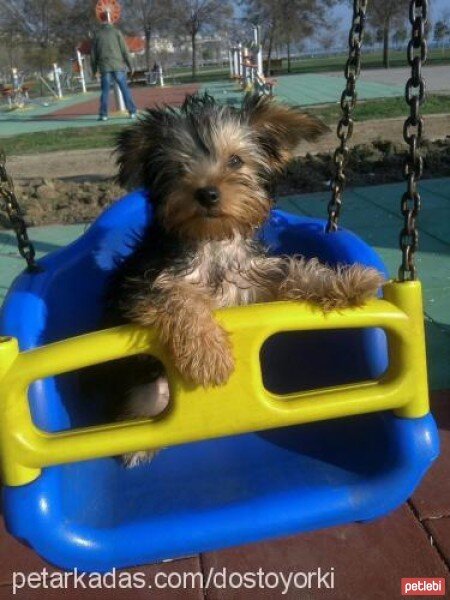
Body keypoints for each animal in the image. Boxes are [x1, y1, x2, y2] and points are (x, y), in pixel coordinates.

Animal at [103, 95, 384, 468]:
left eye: (236, 160)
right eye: (179, 167)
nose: (206, 193)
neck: (213, 240)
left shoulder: (255, 280)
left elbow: (295, 271)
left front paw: (349, 281)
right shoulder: (142, 284)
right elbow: (178, 295)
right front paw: (208, 354)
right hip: (146, 385)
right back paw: (136, 444)